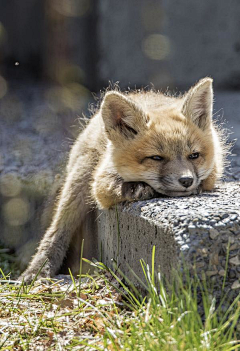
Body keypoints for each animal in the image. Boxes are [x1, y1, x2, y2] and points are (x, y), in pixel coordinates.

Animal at [19, 77, 226, 284]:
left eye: (194, 155)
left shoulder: (214, 171)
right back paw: (37, 270)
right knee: (57, 229)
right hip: (80, 178)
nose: (186, 180)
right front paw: (137, 189)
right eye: (156, 158)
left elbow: (206, 180)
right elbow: (114, 187)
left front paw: (196, 187)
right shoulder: (99, 182)